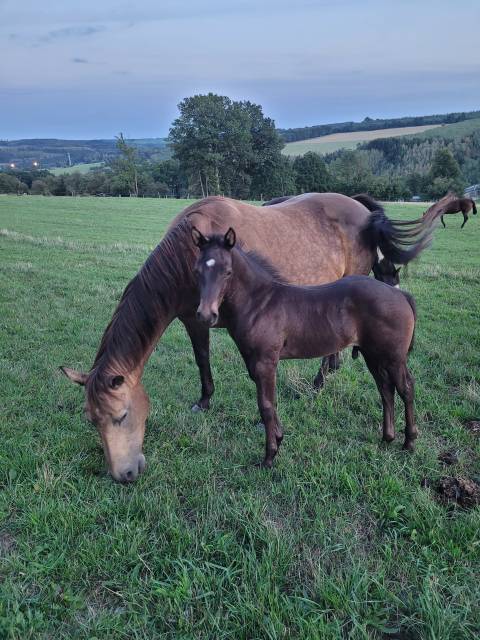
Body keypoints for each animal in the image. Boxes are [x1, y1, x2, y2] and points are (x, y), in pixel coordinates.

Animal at [192, 227, 417, 468]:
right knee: (385, 389)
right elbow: (270, 404)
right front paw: (279, 439)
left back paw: (409, 442)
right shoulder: (253, 362)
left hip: (393, 358)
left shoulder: (265, 363)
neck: (259, 303)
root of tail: (400, 294)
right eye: (197, 271)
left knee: (406, 388)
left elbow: (266, 406)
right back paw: (387, 438)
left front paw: (269, 456)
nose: (205, 315)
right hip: (373, 355)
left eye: (227, 272)